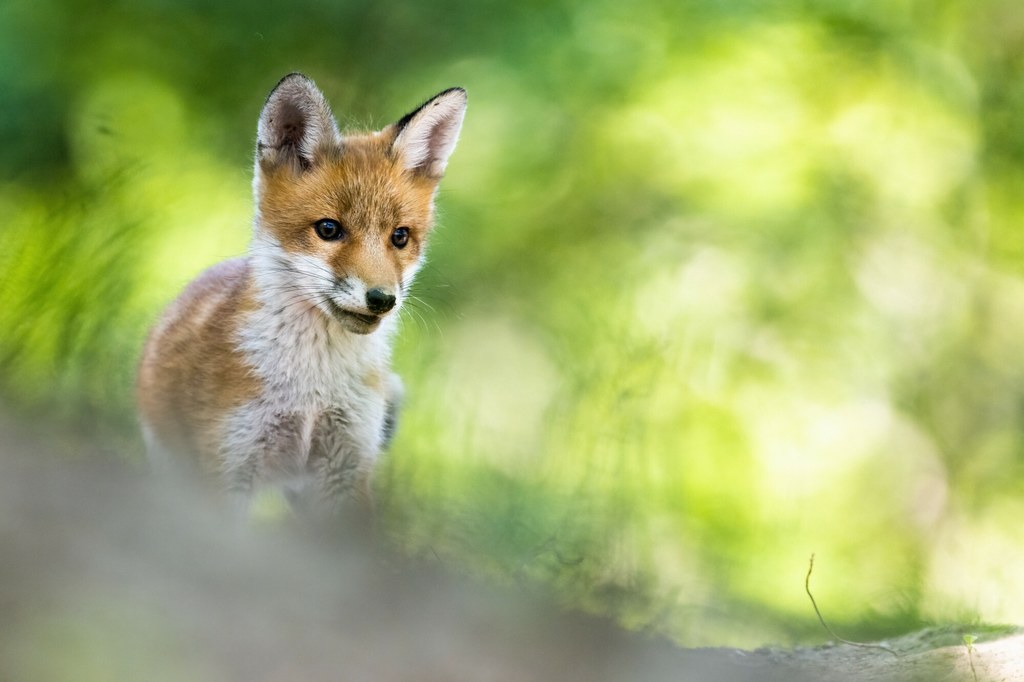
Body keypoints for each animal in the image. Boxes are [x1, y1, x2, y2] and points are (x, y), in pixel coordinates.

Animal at [136, 73, 468, 516]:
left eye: (400, 237)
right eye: (328, 229)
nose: (382, 299)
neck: (313, 390)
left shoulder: (348, 467)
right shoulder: (230, 465)